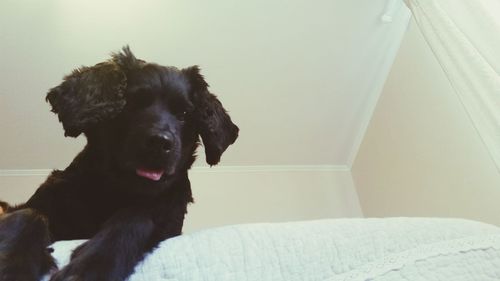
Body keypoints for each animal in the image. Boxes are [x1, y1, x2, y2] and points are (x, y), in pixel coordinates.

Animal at [0, 47, 239, 278]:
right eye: (130, 104)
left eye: (184, 114)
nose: (160, 142)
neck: (117, 192)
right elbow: (30, 215)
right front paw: (13, 266)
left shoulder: (166, 223)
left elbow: (135, 216)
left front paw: (89, 267)